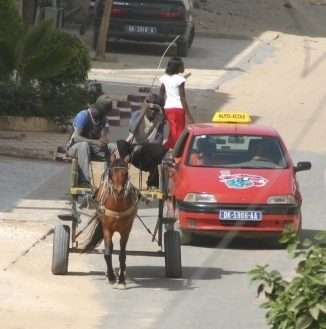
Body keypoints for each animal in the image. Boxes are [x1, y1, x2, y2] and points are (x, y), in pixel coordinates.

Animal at [82, 152, 139, 288]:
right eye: (112, 172)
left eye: (125, 173)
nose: (118, 191)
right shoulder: (107, 228)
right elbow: (107, 253)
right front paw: (111, 277)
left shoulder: (125, 231)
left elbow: (122, 255)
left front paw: (121, 281)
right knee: (110, 248)